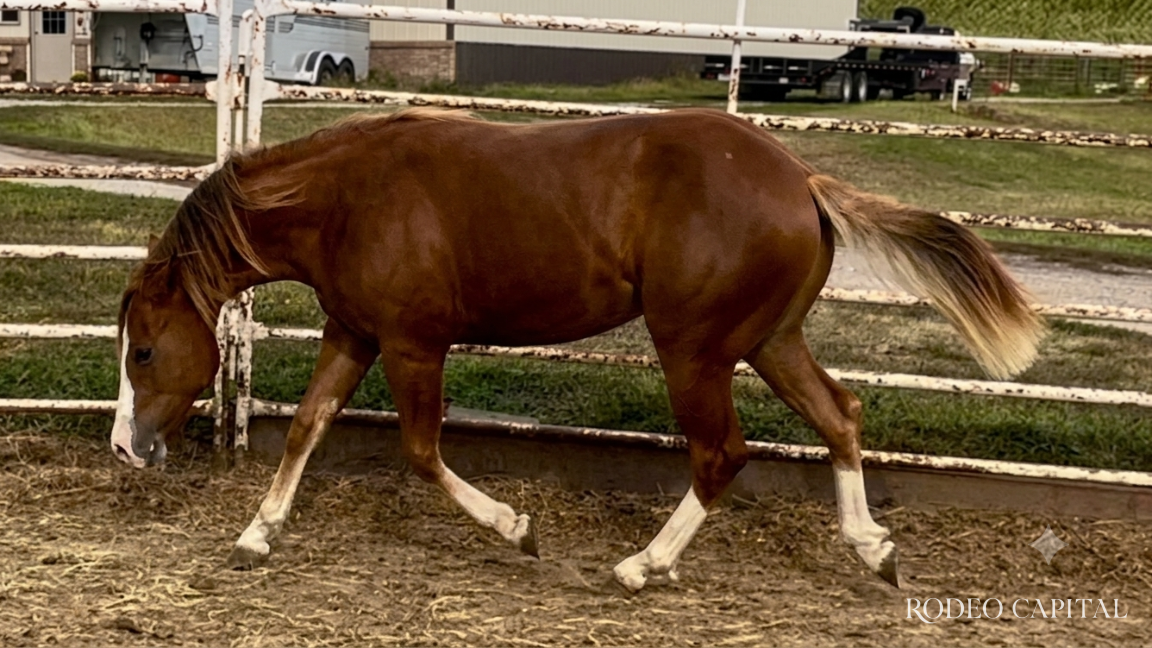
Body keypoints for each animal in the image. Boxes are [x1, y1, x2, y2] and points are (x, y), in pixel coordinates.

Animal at [111, 107, 1044, 592]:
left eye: (145, 352)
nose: (126, 449)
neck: (349, 198)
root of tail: (802, 181)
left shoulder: (414, 343)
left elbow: (420, 451)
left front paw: (519, 530)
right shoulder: (355, 333)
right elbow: (306, 428)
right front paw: (256, 535)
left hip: (694, 348)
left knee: (721, 452)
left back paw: (641, 565)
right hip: (769, 339)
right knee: (839, 414)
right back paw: (873, 549)